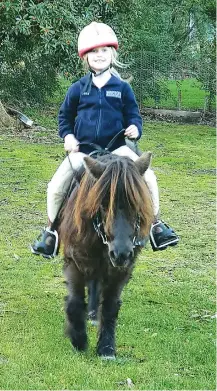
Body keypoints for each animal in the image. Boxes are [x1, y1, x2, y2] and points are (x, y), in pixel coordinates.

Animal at [60, 152, 153, 360]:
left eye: (137, 204)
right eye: (102, 204)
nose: (120, 253)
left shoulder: (122, 269)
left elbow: (110, 306)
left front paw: (106, 348)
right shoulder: (74, 261)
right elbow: (75, 301)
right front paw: (78, 340)